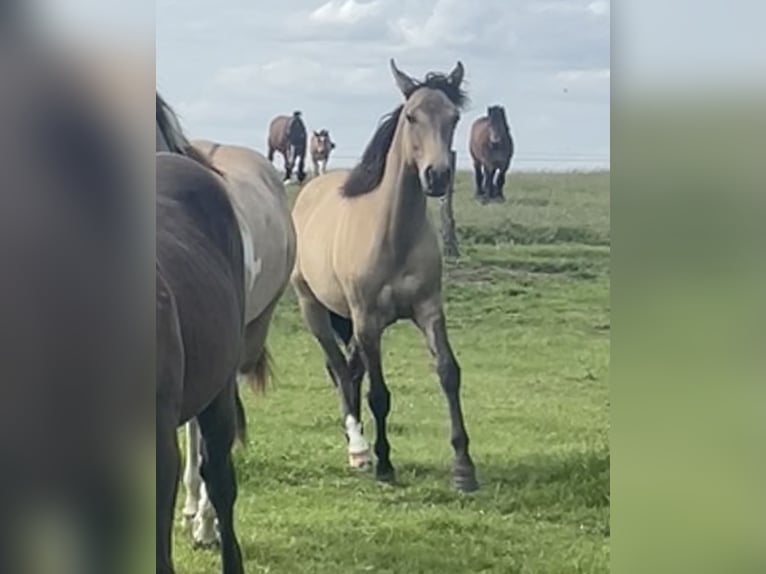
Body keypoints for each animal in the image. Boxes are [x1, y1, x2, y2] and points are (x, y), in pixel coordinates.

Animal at [290, 59, 478, 492]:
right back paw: (358, 448)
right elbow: (379, 393)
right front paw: (385, 465)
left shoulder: (428, 310)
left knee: (350, 370)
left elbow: (449, 373)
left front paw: (463, 468)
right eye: (411, 117)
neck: (393, 235)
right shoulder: (368, 319)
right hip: (315, 309)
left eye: (454, 117)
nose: (437, 176)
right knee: (339, 370)